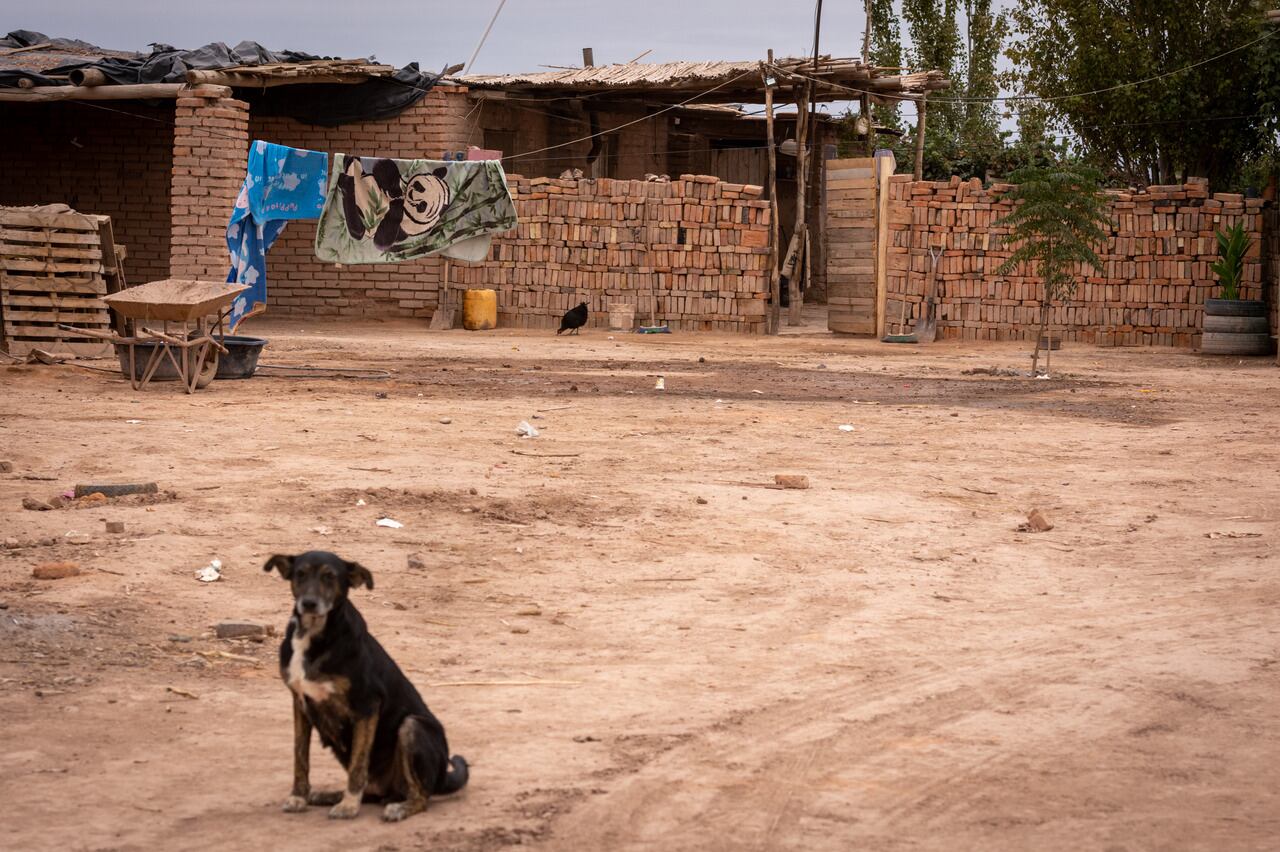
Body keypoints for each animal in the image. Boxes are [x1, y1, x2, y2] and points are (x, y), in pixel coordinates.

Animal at [264, 547, 471, 818]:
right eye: (300, 574)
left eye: (330, 577)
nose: (308, 603)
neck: (313, 635)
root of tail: (442, 778)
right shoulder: (300, 703)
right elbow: (300, 757)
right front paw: (298, 797)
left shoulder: (367, 706)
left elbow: (358, 764)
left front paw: (349, 805)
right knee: (374, 792)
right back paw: (328, 795)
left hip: (413, 727)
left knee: (421, 795)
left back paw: (400, 808)